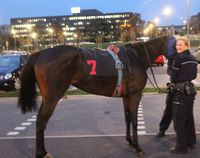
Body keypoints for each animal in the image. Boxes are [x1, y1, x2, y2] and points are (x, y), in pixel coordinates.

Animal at [18, 36, 170, 158]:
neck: (136, 57)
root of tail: (41, 53)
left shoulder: (126, 96)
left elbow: (127, 118)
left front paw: (130, 142)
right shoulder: (135, 95)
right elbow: (134, 120)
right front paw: (138, 148)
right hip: (51, 99)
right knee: (41, 122)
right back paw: (42, 153)